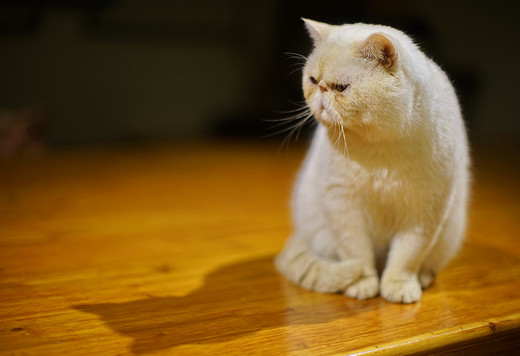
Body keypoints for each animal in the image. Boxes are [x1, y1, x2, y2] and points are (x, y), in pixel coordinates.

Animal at [276, 18, 472, 304]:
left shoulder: (424, 212)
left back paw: (422, 278)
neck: (379, 150)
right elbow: (358, 254)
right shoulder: (344, 206)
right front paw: (363, 285)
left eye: (341, 88)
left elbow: (406, 257)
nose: (321, 90)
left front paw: (399, 287)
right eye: (312, 80)